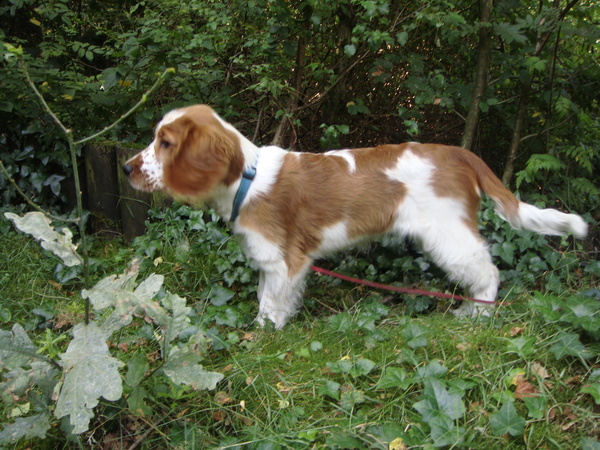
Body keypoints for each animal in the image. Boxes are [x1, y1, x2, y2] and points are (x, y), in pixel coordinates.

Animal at [124, 106, 588, 330]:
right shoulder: (273, 263)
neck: (245, 179)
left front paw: (262, 335)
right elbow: (268, 297)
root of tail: (459, 152)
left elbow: (270, 306)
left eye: (165, 143)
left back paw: (478, 316)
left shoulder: (284, 261)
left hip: (447, 233)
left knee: (487, 271)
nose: (127, 168)